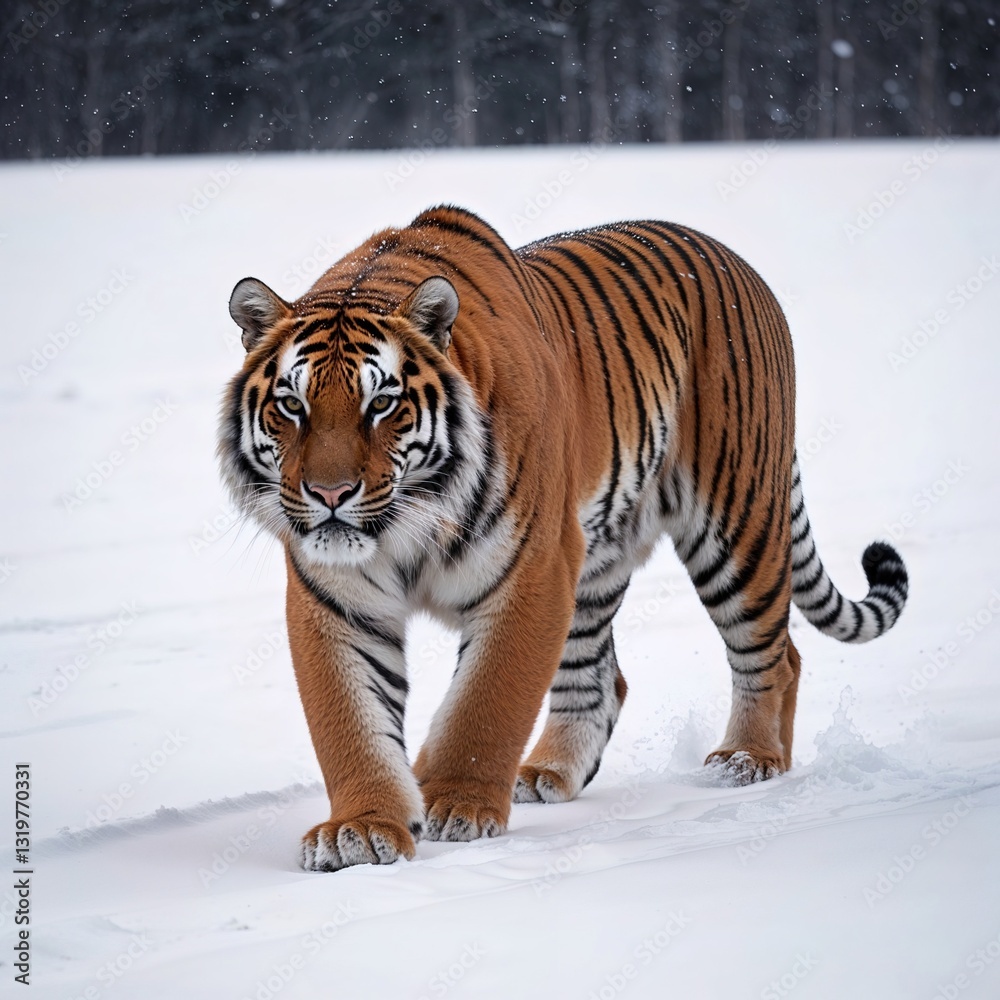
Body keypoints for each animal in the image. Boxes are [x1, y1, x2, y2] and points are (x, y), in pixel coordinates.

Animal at [219, 205, 908, 873]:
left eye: (381, 404)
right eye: (292, 405)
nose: (330, 494)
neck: (409, 522)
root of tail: (737, 262)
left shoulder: (532, 570)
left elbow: (486, 702)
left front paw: (455, 804)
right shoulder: (336, 600)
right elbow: (351, 722)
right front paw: (362, 830)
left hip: (735, 519)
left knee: (774, 654)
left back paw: (749, 759)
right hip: (597, 561)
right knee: (600, 680)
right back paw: (549, 772)